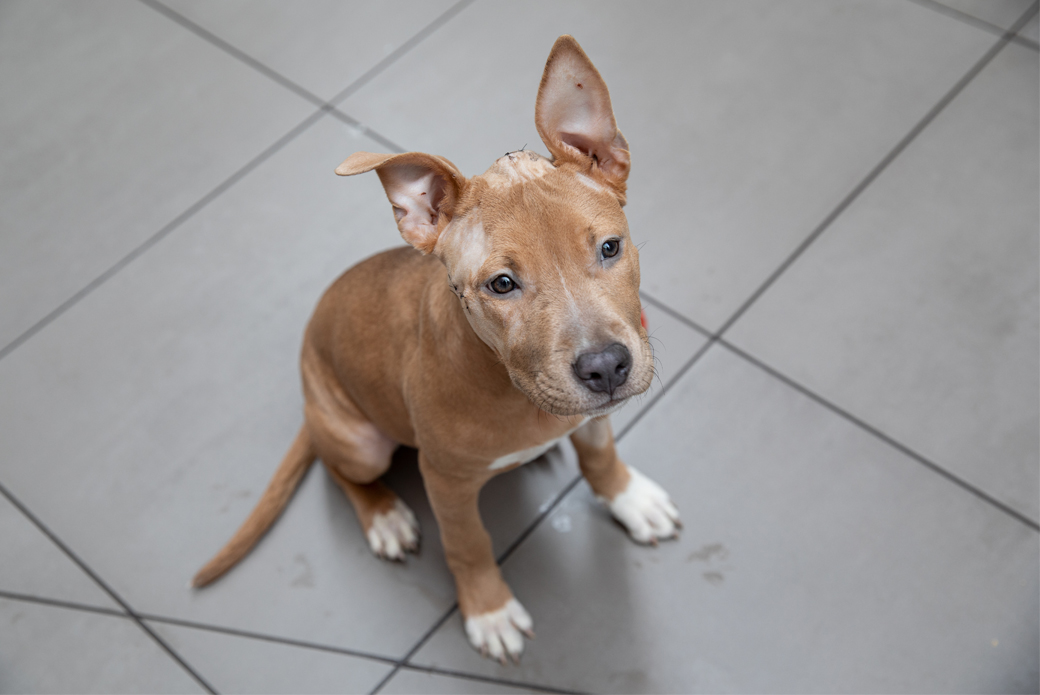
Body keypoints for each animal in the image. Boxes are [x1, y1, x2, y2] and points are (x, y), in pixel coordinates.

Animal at [193, 33, 682, 661]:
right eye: (502, 284)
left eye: (610, 247)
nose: (606, 368)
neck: (508, 383)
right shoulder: (445, 481)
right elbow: (468, 543)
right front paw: (489, 610)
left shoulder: (594, 418)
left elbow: (599, 455)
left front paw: (629, 498)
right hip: (359, 441)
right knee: (339, 468)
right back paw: (385, 517)